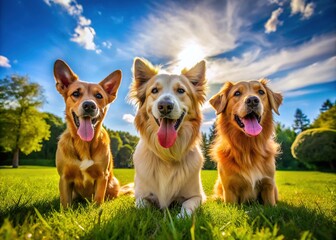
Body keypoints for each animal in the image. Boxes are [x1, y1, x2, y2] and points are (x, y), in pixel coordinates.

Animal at [52, 59, 121, 207]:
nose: (89, 105)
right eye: (75, 94)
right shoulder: (64, 178)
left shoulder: (102, 176)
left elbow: (98, 201)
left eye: (99, 95)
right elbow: (65, 204)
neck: (83, 143)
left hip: (114, 183)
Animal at [129, 58, 206, 218]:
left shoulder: (197, 196)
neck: (167, 155)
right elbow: (142, 206)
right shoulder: (140, 196)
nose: (165, 106)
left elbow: (187, 206)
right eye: (154, 90)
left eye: (181, 90)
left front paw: (180, 218)